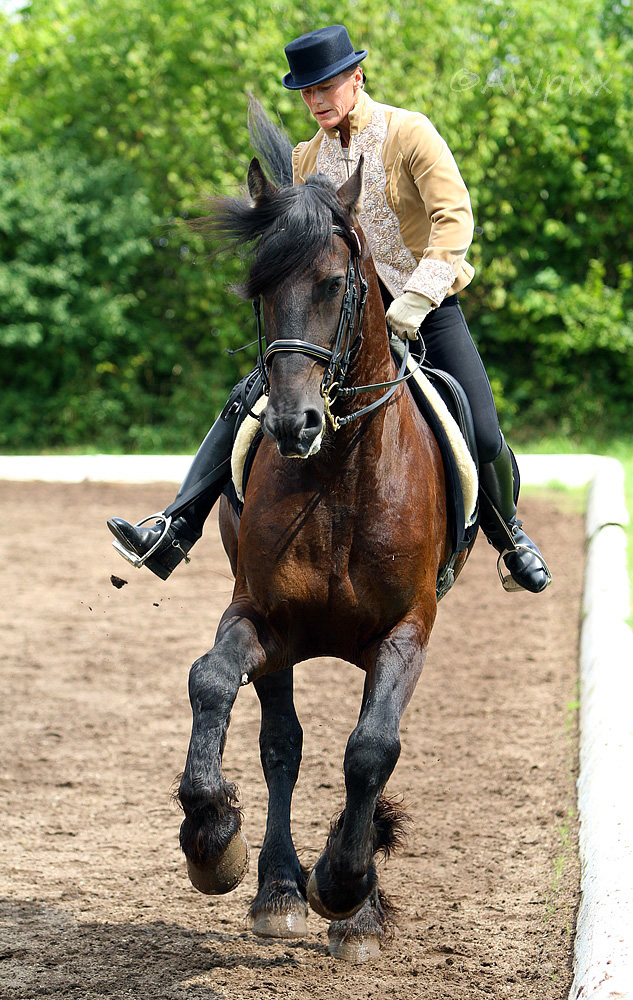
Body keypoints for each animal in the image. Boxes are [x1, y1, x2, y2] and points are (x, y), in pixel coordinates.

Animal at [175, 125, 472, 960]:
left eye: (337, 285)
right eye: (260, 290)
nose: (291, 423)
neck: (340, 478)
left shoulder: (406, 630)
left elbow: (372, 748)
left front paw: (348, 886)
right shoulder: (260, 617)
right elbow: (212, 683)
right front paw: (213, 842)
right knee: (282, 743)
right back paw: (277, 888)